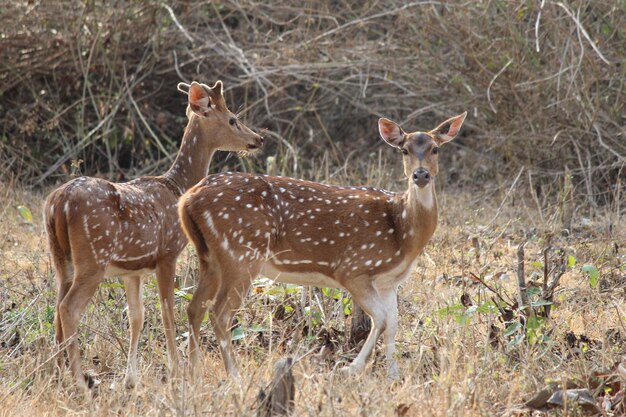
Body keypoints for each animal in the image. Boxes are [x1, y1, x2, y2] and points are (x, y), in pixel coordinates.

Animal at [43, 79, 264, 392]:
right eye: (233, 118)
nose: (258, 139)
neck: (176, 187)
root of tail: (58, 203)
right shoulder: (167, 253)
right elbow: (167, 311)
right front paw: (175, 370)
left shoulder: (132, 270)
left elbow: (137, 317)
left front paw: (131, 379)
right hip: (93, 258)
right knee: (68, 308)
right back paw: (78, 380)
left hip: (61, 258)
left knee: (56, 307)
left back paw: (55, 373)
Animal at [178, 110, 466, 380]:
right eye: (404, 150)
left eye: (436, 149)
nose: (421, 174)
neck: (403, 232)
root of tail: (187, 199)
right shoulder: (353, 268)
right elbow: (381, 319)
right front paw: (351, 368)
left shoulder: (389, 281)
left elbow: (393, 324)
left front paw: (393, 375)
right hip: (241, 254)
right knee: (220, 313)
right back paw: (234, 375)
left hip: (211, 256)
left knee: (195, 307)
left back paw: (192, 372)